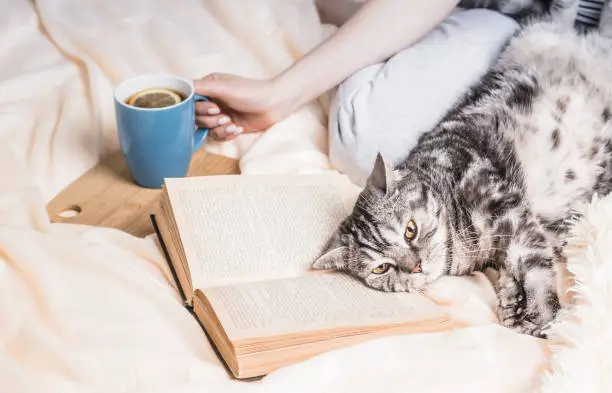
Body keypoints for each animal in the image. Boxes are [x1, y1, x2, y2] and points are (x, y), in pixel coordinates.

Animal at [314, 0, 612, 336]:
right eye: (382, 268)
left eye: (410, 230)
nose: (414, 265)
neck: (467, 247)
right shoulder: (537, 228)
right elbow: (514, 266)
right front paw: (514, 306)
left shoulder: (511, 210)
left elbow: (533, 265)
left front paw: (542, 315)